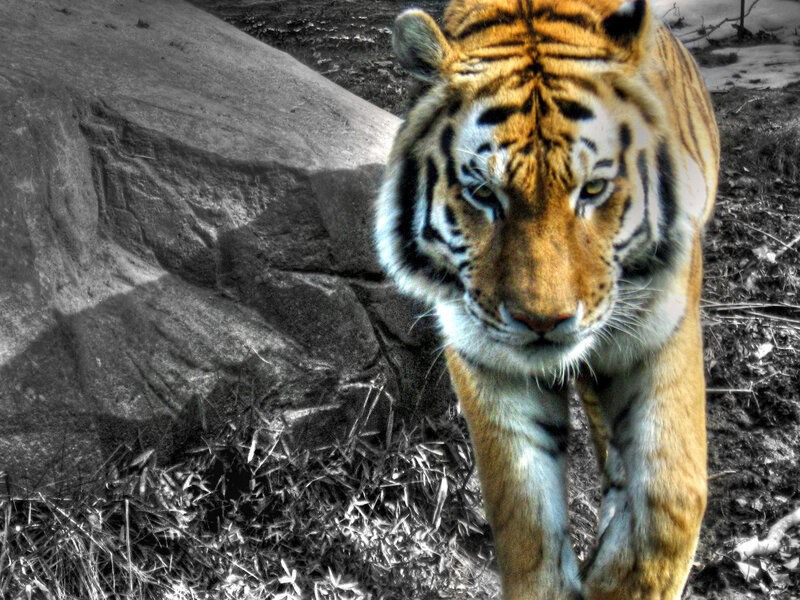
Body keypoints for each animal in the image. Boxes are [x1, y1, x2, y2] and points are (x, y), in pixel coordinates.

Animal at [373, 0, 719, 598]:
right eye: (483, 194)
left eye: (593, 189)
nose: (543, 321)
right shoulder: (487, 358)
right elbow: (525, 516)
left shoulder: (664, 332)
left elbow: (668, 503)